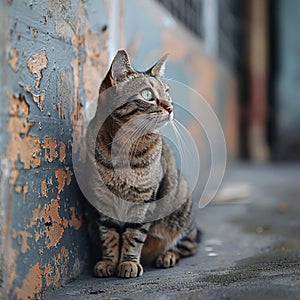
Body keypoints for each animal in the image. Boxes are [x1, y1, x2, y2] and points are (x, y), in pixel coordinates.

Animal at [85, 50, 200, 278]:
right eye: (147, 95)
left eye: (167, 93)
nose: (170, 106)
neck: (124, 148)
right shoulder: (102, 200)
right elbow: (108, 235)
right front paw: (108, 262)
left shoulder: (144, 199)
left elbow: (134, 236)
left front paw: (128, 262)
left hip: (181, 209)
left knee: (188, 246)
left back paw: (167, 256)